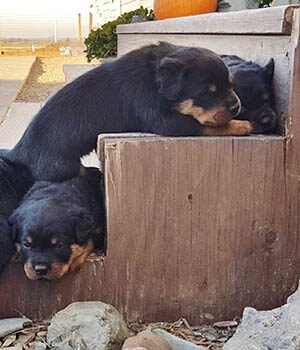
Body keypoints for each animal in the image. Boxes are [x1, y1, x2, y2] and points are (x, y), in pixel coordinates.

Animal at [7, 42, 251, 182]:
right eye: (208, 93)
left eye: (231, 84)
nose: (236, 107)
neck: (156, 77)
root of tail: (17, 152)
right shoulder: (167, 121)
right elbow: (206, 125)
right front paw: (243, 124)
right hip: (59, 166)